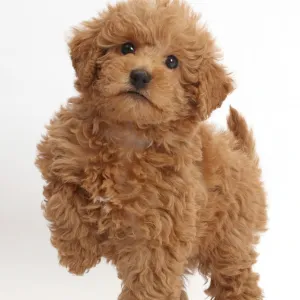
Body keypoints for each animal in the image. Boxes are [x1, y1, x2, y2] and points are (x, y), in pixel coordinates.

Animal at [35, 1, 268, 298]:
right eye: (126, 48)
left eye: (172, 62)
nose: (140, 75)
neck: (128, 134)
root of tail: (241, 154)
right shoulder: (61, 159)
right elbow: (63, 205)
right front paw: (77, 256)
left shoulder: (161, 229)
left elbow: (150, 275)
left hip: (229, 240)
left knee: (237, 276)